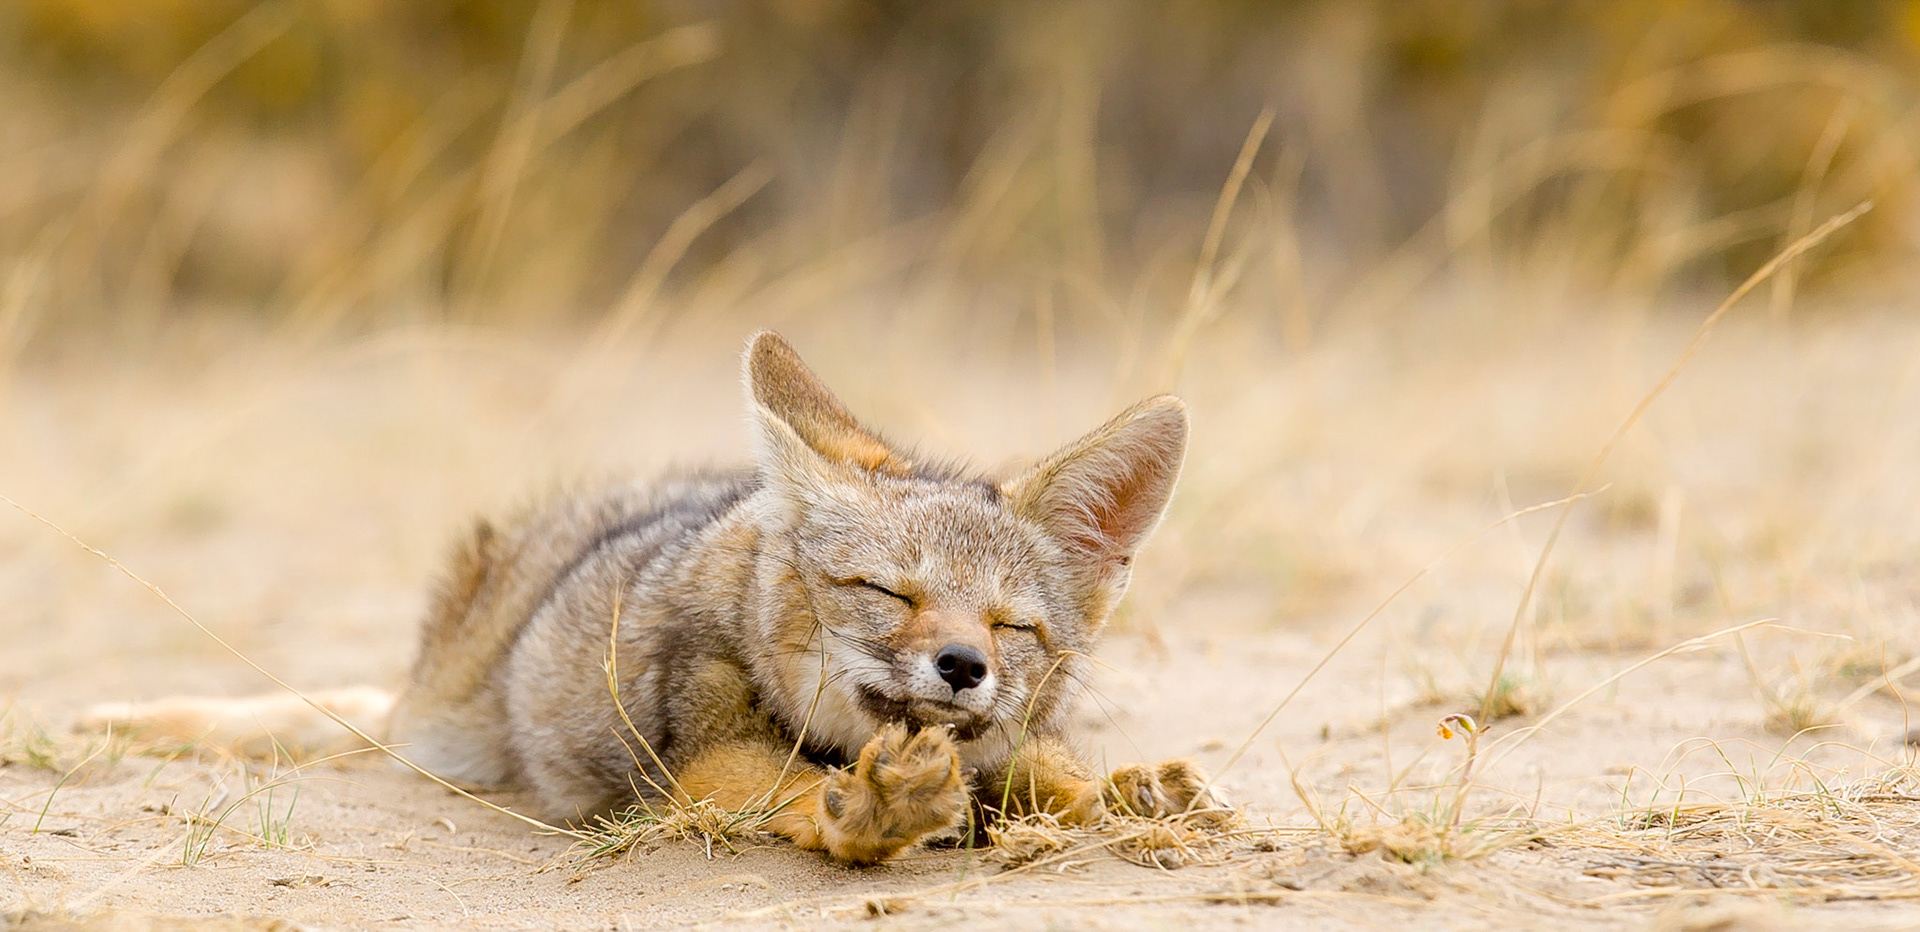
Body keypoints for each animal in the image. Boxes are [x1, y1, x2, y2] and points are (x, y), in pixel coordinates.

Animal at [82, 331, 1221, 865]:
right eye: (885, 593)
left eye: (1008, 626)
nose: (962, 666)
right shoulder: (701, 770)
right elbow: (800, 789)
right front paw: (879, 810)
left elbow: (1048, 769)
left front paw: (1129, 792)